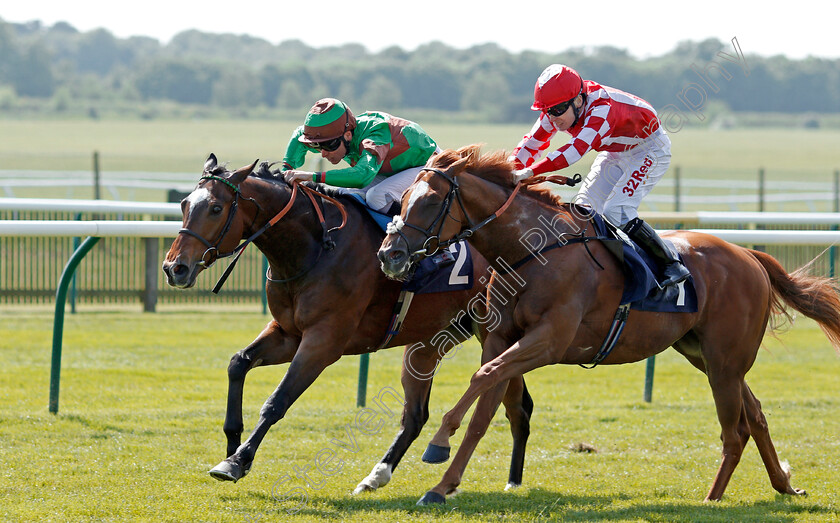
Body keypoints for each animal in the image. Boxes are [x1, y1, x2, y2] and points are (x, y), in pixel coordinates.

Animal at [161, 155, 536, 496]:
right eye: (183, 204)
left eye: (214, 208)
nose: (174, 268)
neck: (313, 247)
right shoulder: (288, 334)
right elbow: (238, 363)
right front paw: (232, 444)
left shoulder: (324, 340)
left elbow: (277, 400)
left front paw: (237, 462)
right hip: (430, 342)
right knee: (418, 415)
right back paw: (379, 476)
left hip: (493, 334)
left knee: (514, 404)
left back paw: (512, 481)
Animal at [378, 145, 840, 506]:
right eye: (403, 198)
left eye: (430, 201)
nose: (389, 254)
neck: (531, 252)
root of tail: (750, 256)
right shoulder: (500, 340)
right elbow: (484, 404)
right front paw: (441, 485)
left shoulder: (548, 341)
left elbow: (483, 379)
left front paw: (438, 443)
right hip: (705, 356)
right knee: (756, 415)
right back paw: (784, 486)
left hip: (725, 362)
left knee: (735, 429)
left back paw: (713, 498)